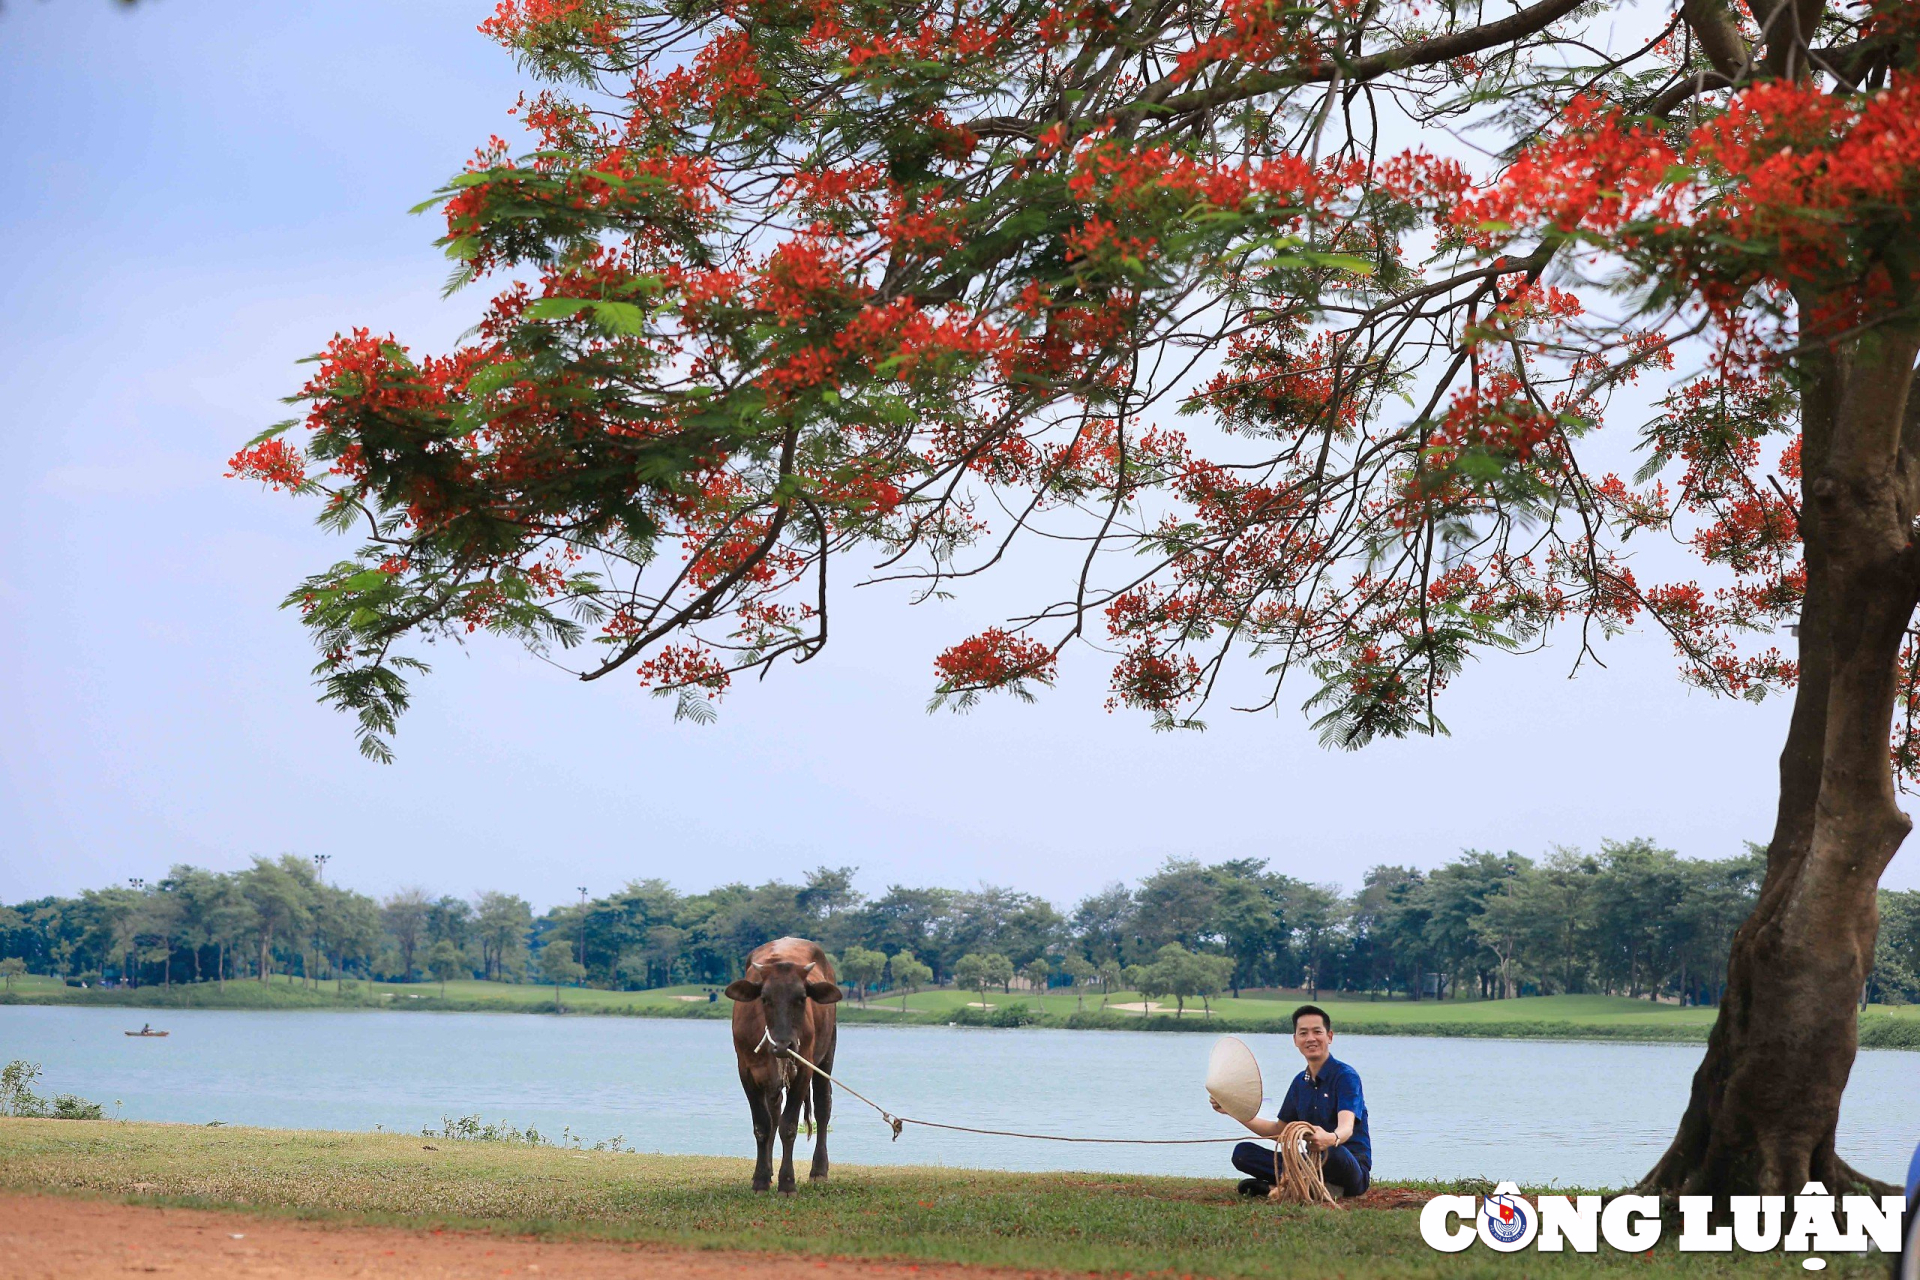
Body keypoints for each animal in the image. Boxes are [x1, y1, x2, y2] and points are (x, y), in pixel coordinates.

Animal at [721, 936, 840, 1197]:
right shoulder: (746, 1071)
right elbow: (762, 1125)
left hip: (827, 1053)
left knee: (823, 1107)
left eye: (802, 998)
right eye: (765, 999)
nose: (784, 1044)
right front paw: (760, 1180)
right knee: (774, 1113)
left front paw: (787, 1183)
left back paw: (819, 1170)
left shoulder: (803, 1070)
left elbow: (789, 1126)